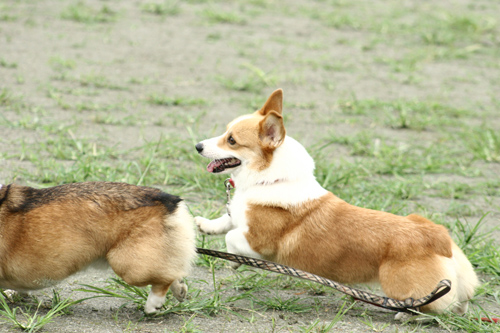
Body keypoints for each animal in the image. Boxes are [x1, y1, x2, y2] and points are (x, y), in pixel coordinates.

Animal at [0, 180, 195, 312]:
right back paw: (180, 290)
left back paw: (153, 305)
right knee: (173, 270)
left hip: (128, 265)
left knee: (165, 277)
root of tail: (167, 200)